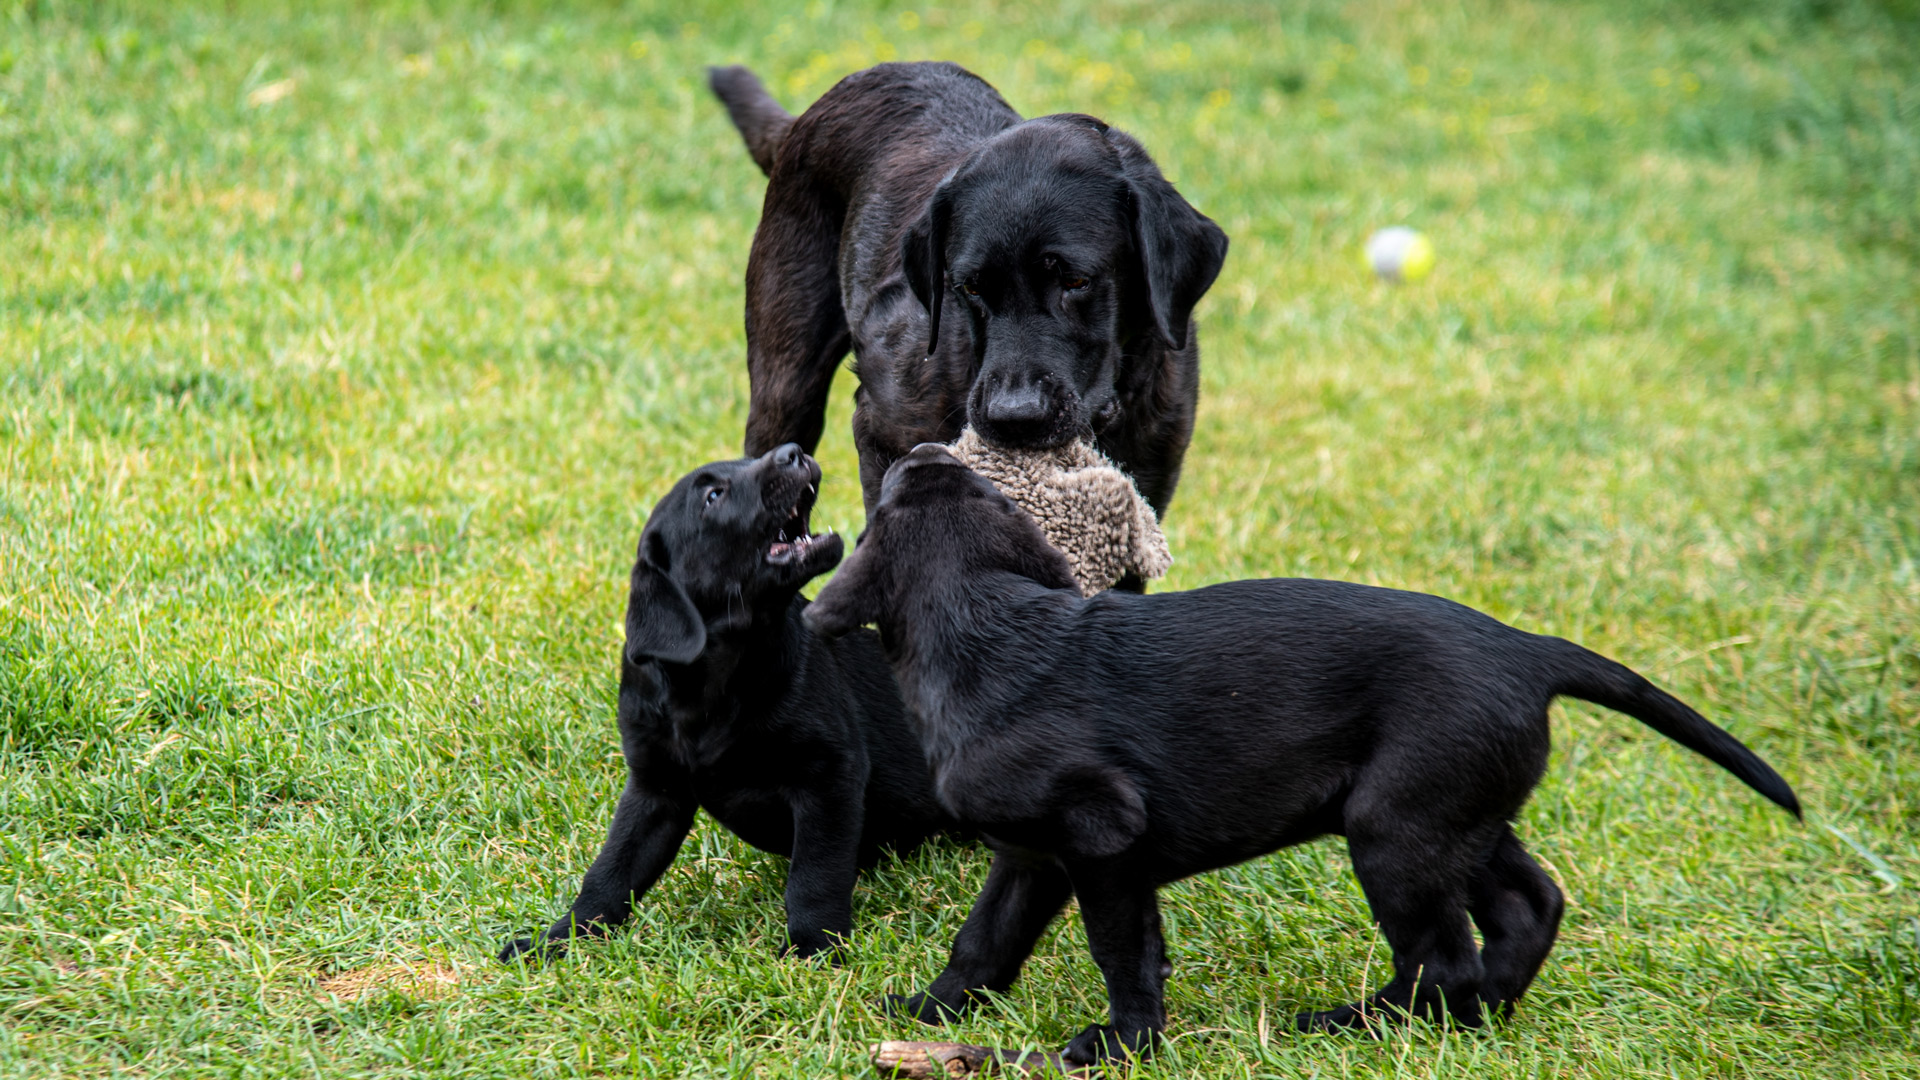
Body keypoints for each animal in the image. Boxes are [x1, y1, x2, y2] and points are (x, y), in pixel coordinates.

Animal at [499, 441, 956, 960]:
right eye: (713, 495)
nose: (793, 451)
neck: (719, 677)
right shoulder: (655, 787)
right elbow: (613, 868)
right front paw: (562, 938)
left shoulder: (829, 774)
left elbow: (815, 876)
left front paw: (812, 947)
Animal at [802, 443, 1804, 1060]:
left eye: (889, 496)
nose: (926, 452)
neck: (984, 631)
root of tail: (1528, 648)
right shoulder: (1031, 855)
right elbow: (984, 941)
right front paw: (928, 1012)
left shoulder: (1104, 839)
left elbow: (1124, 952)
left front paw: (1120, 1045)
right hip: (1457, 814)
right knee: (1528, 907)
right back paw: (1486, 1010)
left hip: (1395, 832)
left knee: (1441, 957)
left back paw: (1356, 1024)